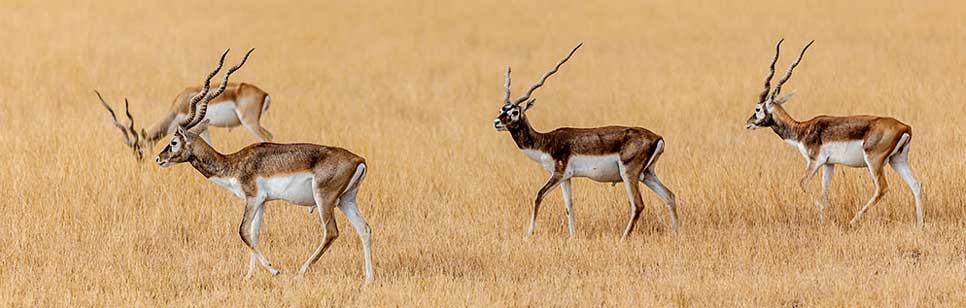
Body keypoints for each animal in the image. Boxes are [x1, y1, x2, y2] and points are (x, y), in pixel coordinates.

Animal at [96, 66, 272, 161]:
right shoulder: (204, 126)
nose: (141, 163)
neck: (178, 106)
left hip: (249, 122)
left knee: (266, 137)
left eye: (140, 148)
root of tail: (264, 94)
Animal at [155, 49, 374, 282]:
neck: (234, 163)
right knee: (365, 229)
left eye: (174, 142)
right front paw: (249, 275)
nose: (159, 158)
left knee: (331, 232)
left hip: (324, 199)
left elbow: (243, 232)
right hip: (346, 200)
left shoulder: (252, 198)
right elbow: (254, 233)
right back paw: (369, 279)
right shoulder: (262, 202)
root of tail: (359, 160)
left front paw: (273, 269)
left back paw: (302, 270)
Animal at [500, 44, 680, 241]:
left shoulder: (558, 174)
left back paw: (622, 239)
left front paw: (528, 236)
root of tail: (657, 137)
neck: (546, 141)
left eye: (515, 111)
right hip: (647, 174)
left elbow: (538, 196)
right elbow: (569, 206)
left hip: (629, 173)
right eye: (502, 109)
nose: (496, 122)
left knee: (638, 205)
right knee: (670, 196)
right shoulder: (566, 177)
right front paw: (572, 237)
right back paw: (677, 234)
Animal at [748, 39, 924, 226]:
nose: (748, 123)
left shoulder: (815, 161)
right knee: (916, 185)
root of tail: (904, 127)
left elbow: (803, 184)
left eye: (758, 108)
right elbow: (824, 192)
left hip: (874, 161)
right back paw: (919, 225)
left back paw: (852, 221)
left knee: (882, 188)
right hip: (897, 160)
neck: (802, 129)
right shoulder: (829, 164)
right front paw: (822, 221)